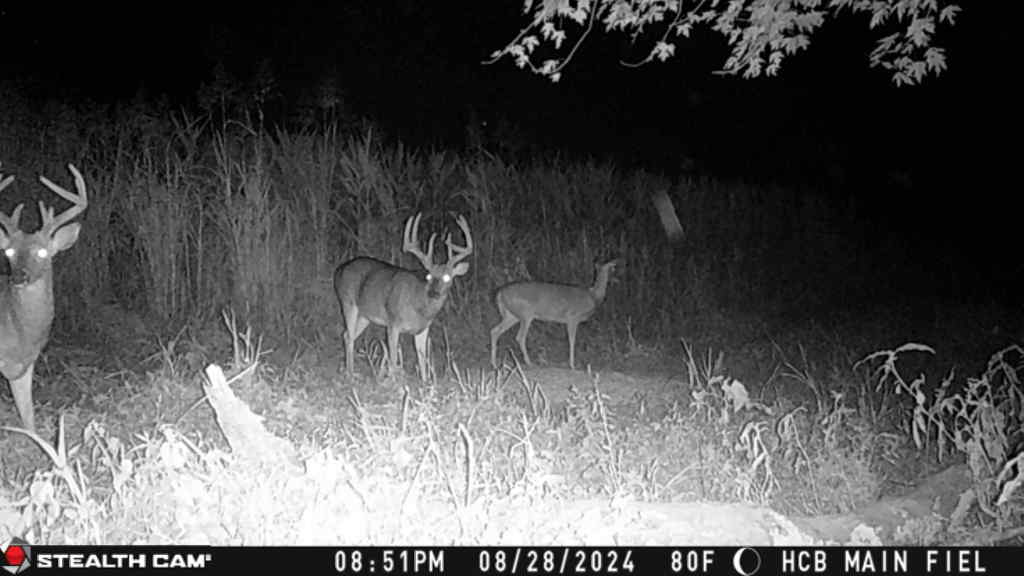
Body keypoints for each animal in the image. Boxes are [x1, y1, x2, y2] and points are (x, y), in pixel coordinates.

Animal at [334, 212, 473, 380]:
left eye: (447, 277)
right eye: (429, 276)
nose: (434, 293)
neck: (419, 307)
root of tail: (340, 270)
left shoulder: (423, 329)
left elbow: (422, 359)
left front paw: (425, 382)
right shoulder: (393, 323)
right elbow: (393, 359)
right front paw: (393, 381)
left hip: (365, 315)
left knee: (348, 334)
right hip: (348, 303)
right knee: (348, 335)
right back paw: (350, 374)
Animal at [490, 259, 620, 371]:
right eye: (613, 269)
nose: (617, 280)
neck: (593, 297)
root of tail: (500, 293)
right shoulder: (573, 317)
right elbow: (572, 340)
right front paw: (572, 365)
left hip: (511, 315)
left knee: (495, 330)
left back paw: (494, 364)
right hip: (525, 313)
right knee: (520, 336)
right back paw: (529, 363)